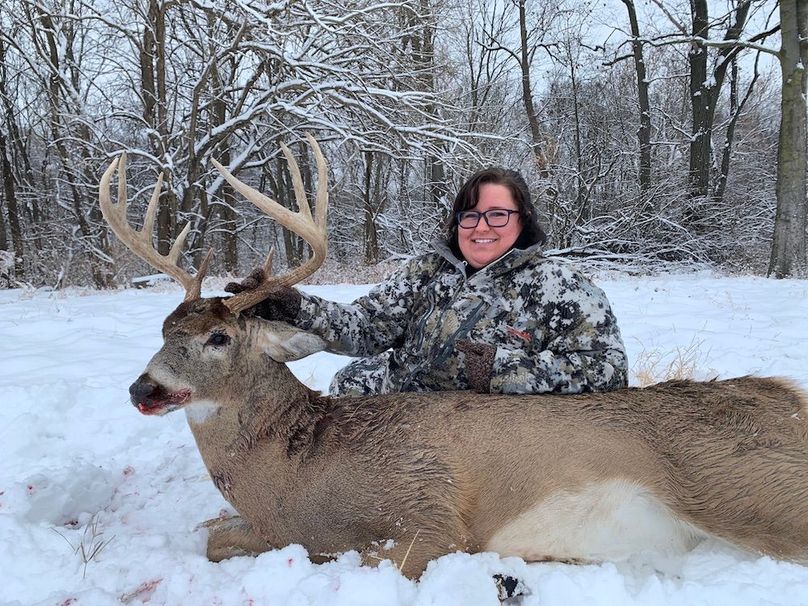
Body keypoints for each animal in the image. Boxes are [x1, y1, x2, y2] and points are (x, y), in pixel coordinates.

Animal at [99, 136, 808, 582]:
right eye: (163, 328)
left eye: (218, 339)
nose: (142, 388)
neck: (293, 477)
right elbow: (212, 532)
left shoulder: (428, 520)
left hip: (747, 489)